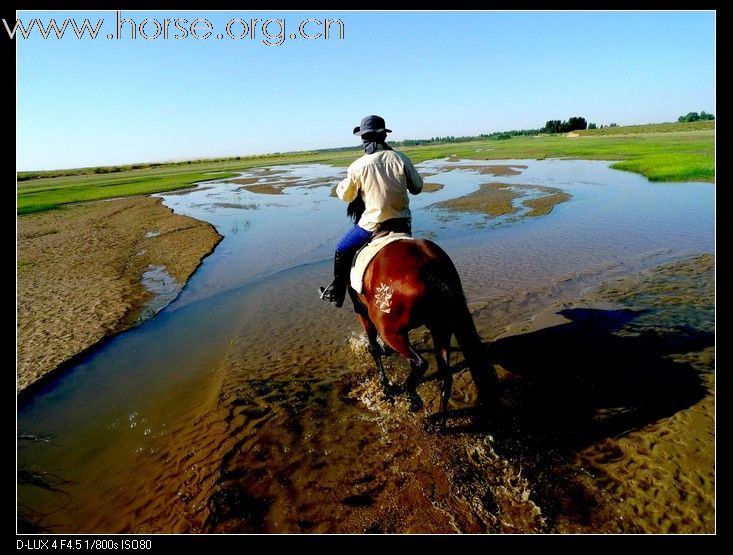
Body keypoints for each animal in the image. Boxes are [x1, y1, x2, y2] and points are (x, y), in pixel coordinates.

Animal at [346, 239, 494, 412]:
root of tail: (429, 266)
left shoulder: (362, 314)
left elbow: (374, 348)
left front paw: (385, 386)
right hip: (440, 327)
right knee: (445, 379)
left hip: (391, 333)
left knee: (419, 363)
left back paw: (410, 396)